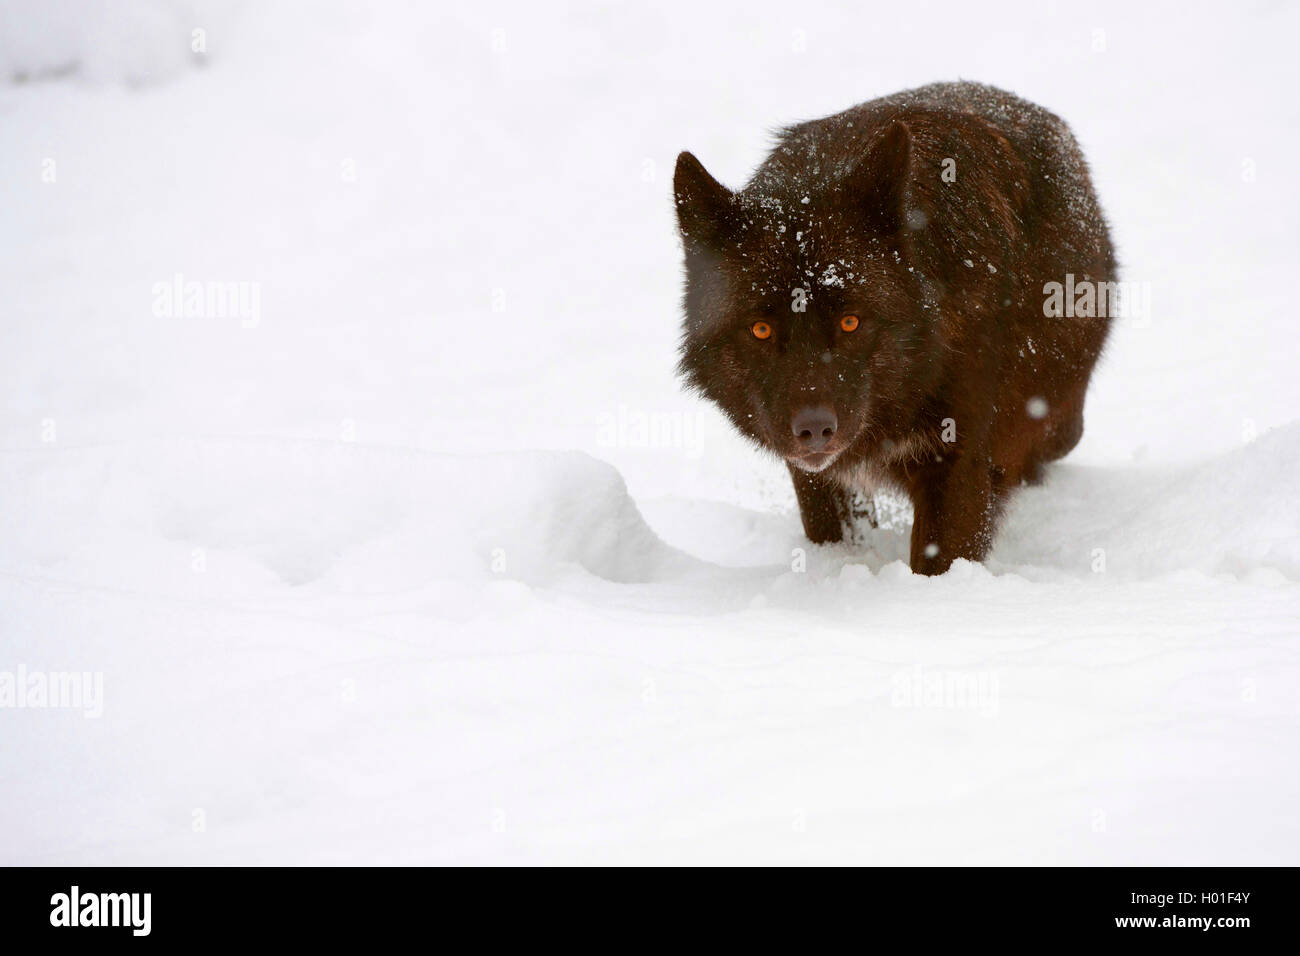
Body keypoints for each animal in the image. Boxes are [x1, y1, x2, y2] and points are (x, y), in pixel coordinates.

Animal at [676, 82, 1112, 572]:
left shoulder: (957, 461)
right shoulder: (816, 475)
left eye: (850, 322)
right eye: (761, 330)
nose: (814, 428)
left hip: (1056, 421)